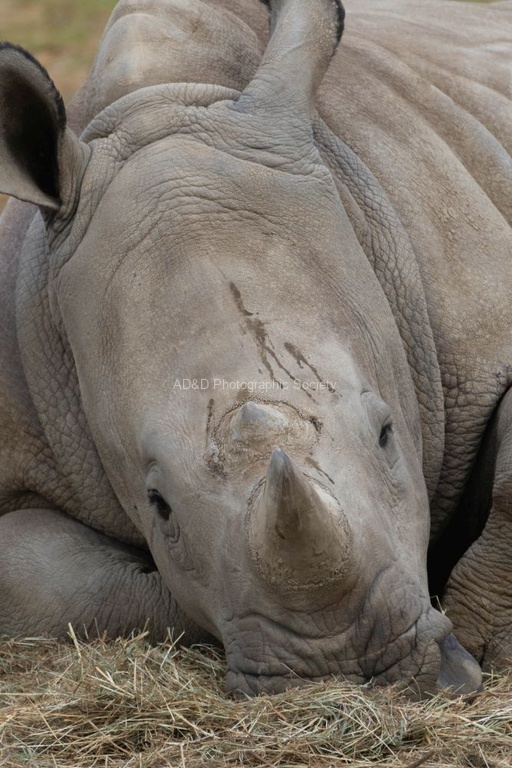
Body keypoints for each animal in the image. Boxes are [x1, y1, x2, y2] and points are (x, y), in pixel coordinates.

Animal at [0, 0, 510, 697]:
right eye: (158, 504)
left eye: (386, 434)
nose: (342, 665)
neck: (167, 99)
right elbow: (34, 576)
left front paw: (488, 640)